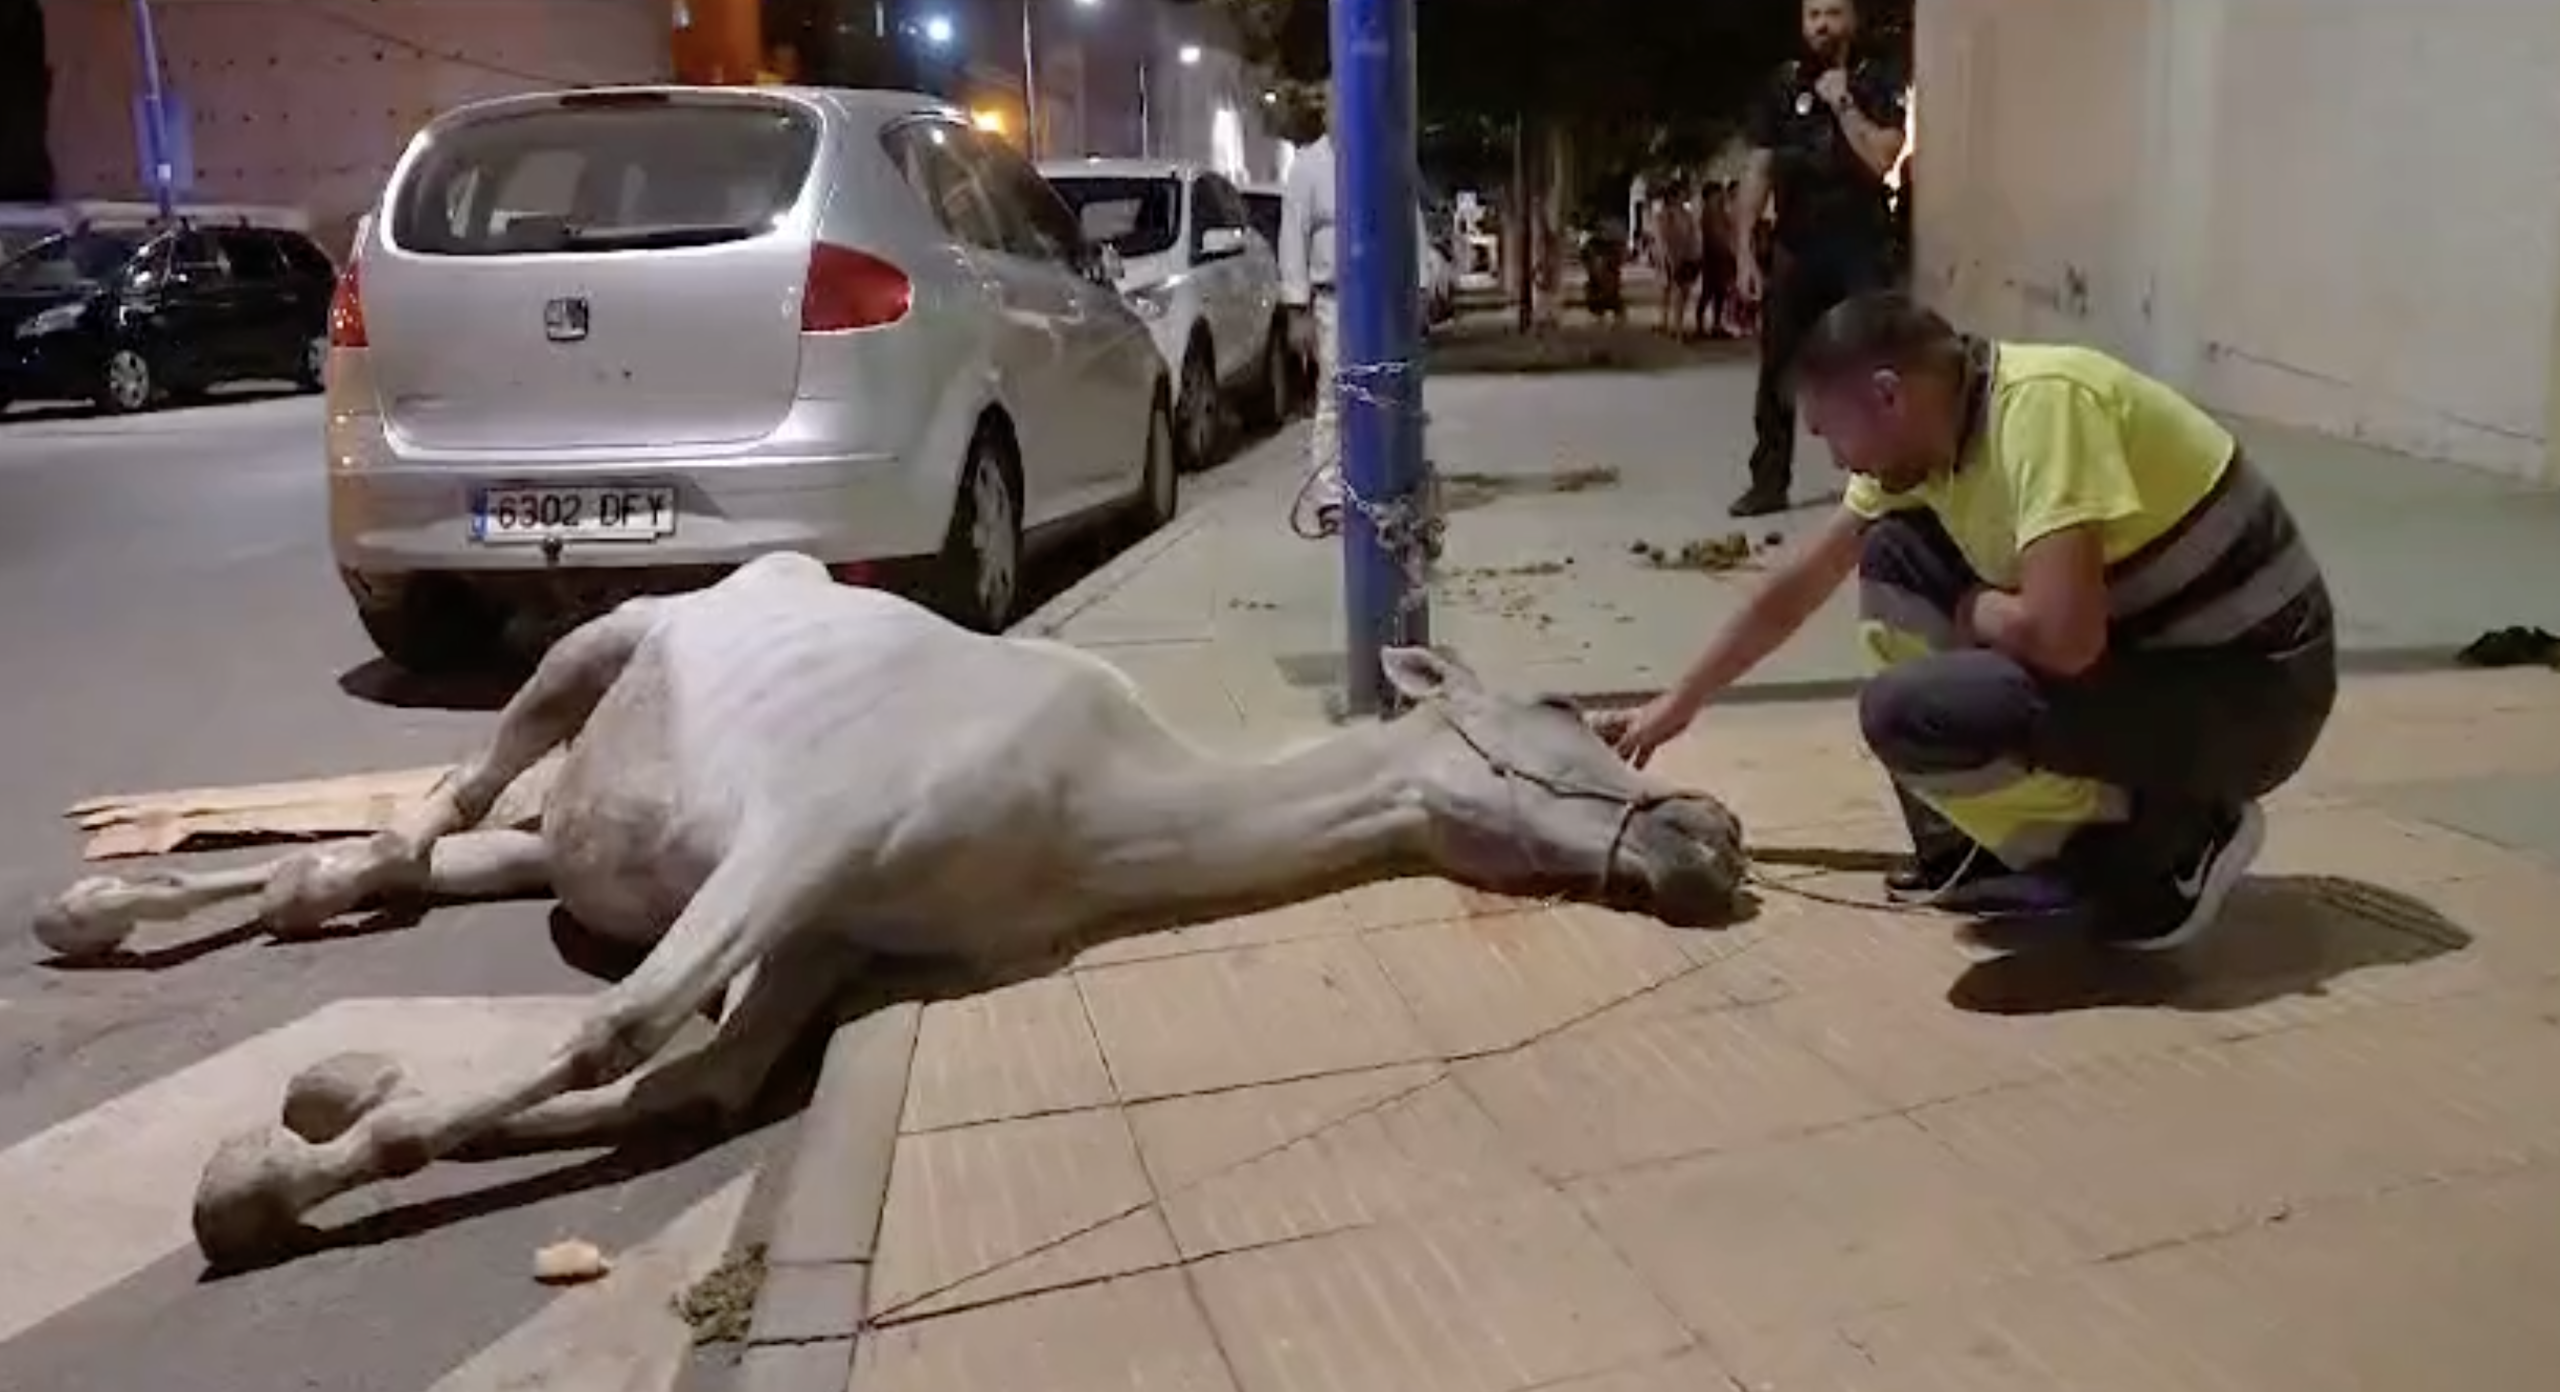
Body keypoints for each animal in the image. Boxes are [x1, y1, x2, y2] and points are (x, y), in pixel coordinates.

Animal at [30, 552, 1740, 1258]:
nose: (1713, 841)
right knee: (451, 796)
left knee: (409, 859)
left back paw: (130, 909)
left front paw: (328, 1098)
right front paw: (259, 1184)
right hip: (591, 650)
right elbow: (618, 1033)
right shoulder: (804, 844)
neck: (1089, 808)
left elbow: (690, 1088)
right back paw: (108, 911)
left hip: (582, 836)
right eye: (1571, 717)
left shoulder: (827, 937)